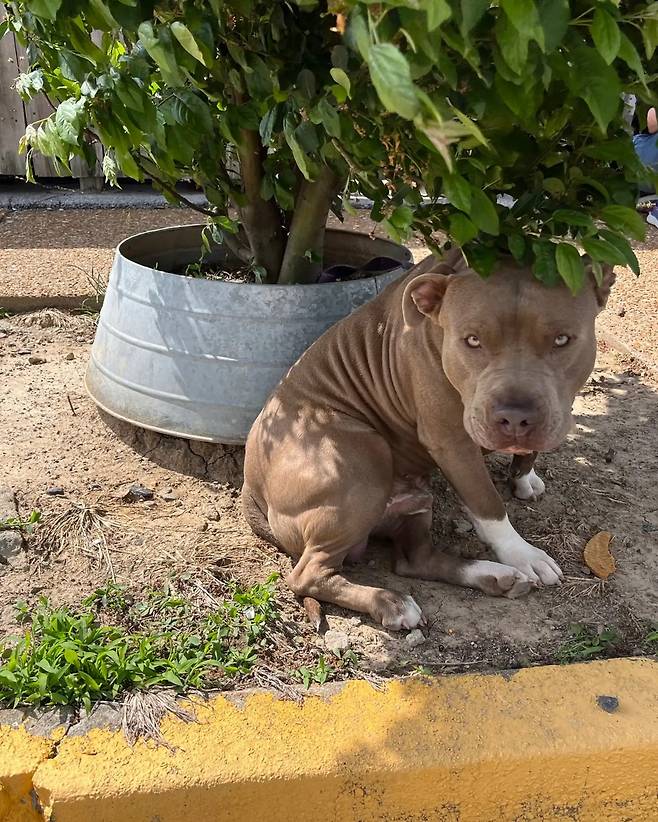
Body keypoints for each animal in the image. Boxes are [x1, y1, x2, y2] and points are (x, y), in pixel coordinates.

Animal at [242, 250, 614, 629]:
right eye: (472, 340)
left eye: (562, 339)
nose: (514, 417)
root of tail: (251, 489)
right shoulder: (452, 442)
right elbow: (488, 503)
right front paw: (521, 553)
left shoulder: (557, 404)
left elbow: (534, 447)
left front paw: (525, 478)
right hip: (359, 457)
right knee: (309, 575)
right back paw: (391, 602)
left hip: (415, 503)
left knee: (413, 560)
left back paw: (492, 575)